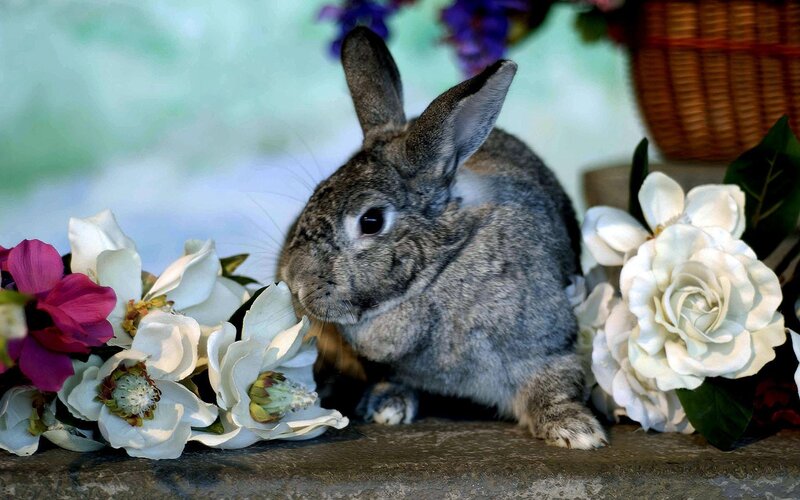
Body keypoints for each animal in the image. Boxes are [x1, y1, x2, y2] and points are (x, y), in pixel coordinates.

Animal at [278, 27, 607, 449]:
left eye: (371, 221)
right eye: (315, 194)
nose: (293, 281)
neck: (439, 269)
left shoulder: (547, 345)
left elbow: (555, 385)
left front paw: (577, 432)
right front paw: (388, 408)